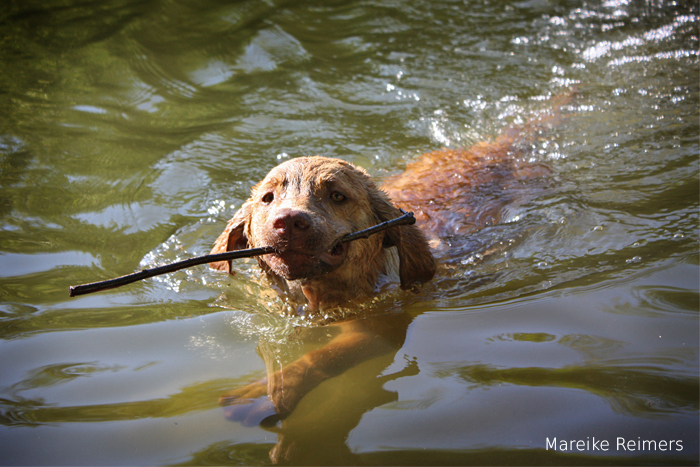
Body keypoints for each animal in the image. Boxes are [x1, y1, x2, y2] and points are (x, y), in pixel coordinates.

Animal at [206, 91, 568, 424]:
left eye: (337, 196)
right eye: (267, 198)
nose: (289, 222)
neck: (318, 295)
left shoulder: (380, 328)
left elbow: (323, 357)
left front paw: (269, 392)